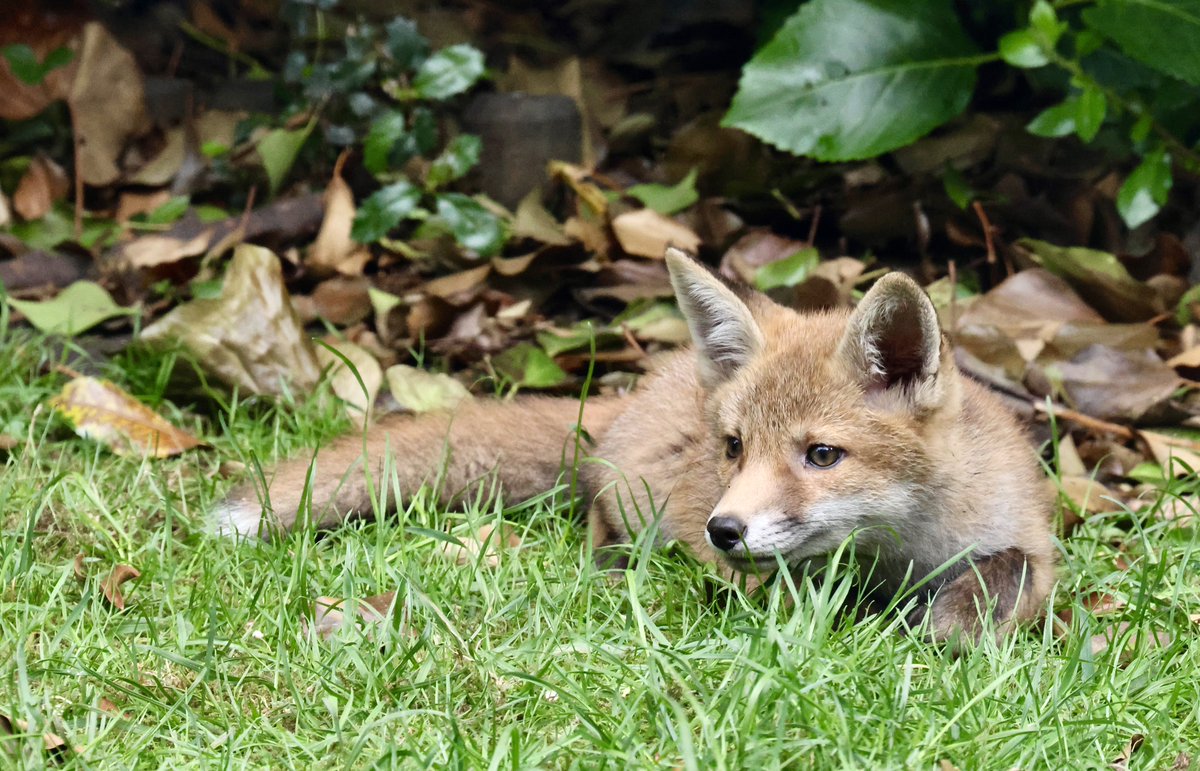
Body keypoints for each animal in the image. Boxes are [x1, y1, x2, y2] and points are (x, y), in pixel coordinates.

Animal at [214, 247, 1057, 639]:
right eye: (733, 447)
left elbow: (1009, 573)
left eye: (822, 454)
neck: (897, 550)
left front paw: (951, 622)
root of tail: (652, 379)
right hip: (633, 494)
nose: (724, 528)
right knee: (598, 512)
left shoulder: (1031, 541)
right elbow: (791, 593)